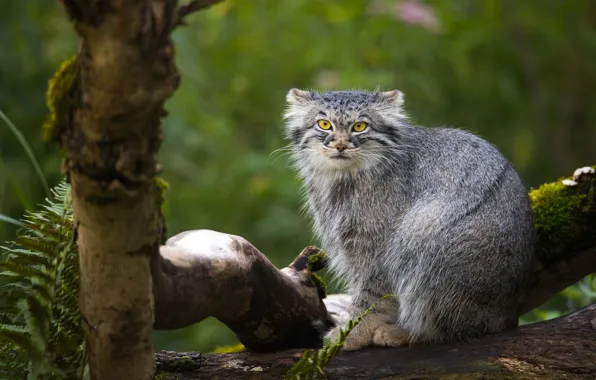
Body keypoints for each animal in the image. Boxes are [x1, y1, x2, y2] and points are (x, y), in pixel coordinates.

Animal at [282, 89, 532, 350]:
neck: (345, 178)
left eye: (360, 126)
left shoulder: (377, 248)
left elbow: (372, 297)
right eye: (324, 124)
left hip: (421, 231)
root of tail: (505, 315)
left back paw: (406, 332)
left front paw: (353, 333)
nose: (340, 145)